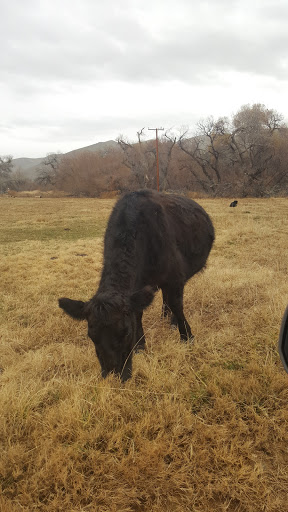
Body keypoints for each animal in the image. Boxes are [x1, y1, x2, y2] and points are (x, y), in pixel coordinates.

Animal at [58, 189, 214, 380]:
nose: (113, 372)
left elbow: (177, 305)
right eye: (91, 335)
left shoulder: (175, 277)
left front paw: (187, 338)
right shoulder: (139, 289)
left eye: (125, 332)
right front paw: (140, 345)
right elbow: (138, 314)